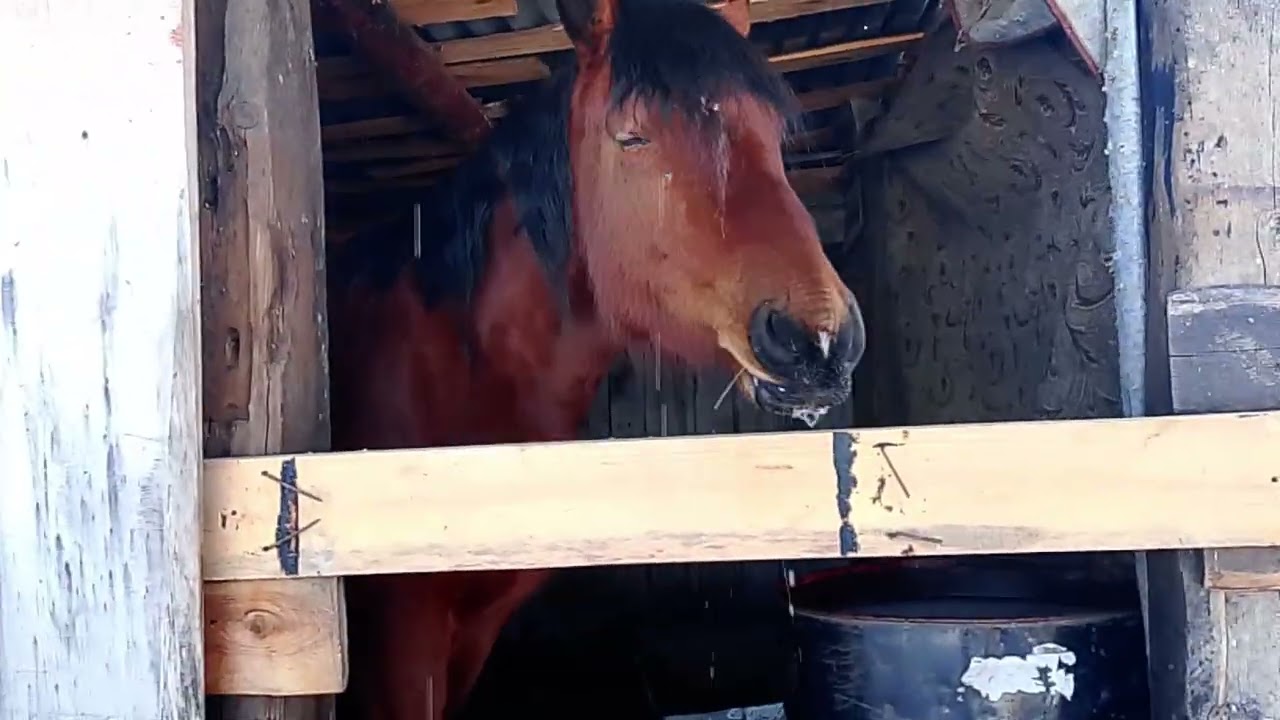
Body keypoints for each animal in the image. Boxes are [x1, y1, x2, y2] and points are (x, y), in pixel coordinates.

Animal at [326, 0, 867, 715]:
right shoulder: (402, 639)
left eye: (773, 136)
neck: (462, 370)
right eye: (630, 137)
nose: (819, 338)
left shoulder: (475, 629)